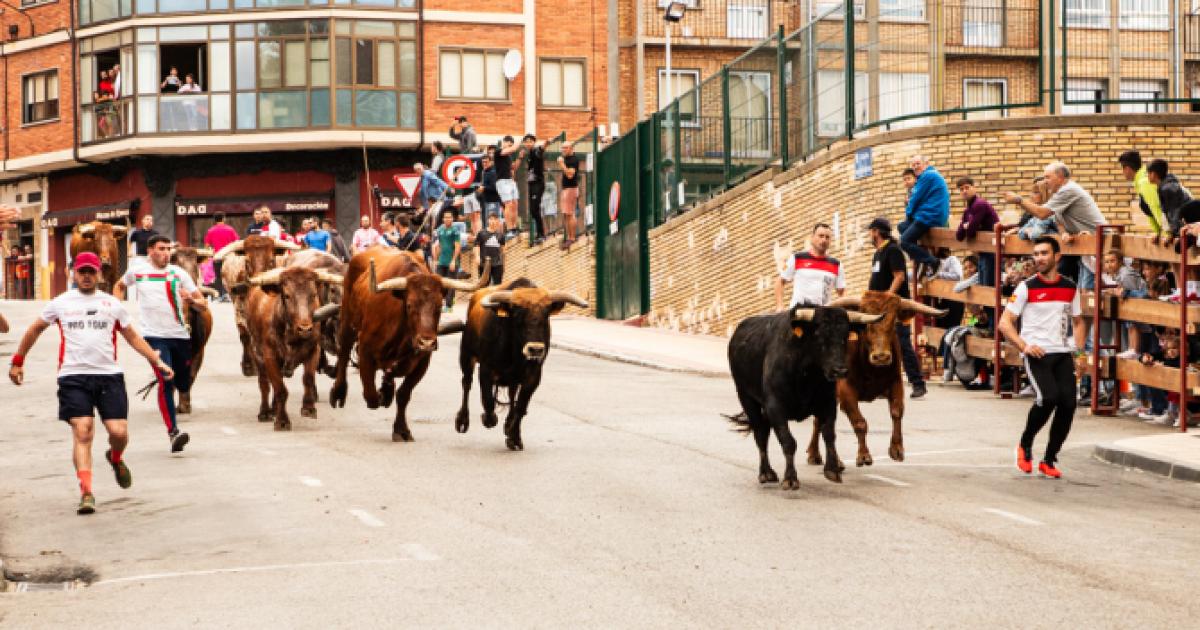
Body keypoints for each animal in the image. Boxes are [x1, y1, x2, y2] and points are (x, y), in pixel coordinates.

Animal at [240, 265, 343, 432]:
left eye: (313, 295)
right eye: (287, 296)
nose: (305, 328)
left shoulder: (314, 350)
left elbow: (308, 379)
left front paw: (308, 408)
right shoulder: (269, 356)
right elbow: (280, 389)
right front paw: (282, 421)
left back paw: (274, 408)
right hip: (257, 353)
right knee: (264, 383)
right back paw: (265, 412)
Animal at [328, 248, 487, 439]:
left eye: (439, 306)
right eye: (410, 305)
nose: (426, 342)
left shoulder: (422, 361)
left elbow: (403, 394)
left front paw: (401, 429)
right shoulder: (365, 350)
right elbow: (370, 395)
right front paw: (381, 396)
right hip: (346, 321)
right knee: (344, 353)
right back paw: (339, 392)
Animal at [811, 291, 950, 465]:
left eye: (893, 322)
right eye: (865, 324)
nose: (881, 357)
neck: (872, 370)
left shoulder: (896, 383)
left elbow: (897, 412)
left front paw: (897, 449)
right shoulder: (846, 391)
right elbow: (860, 422)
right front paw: (864, 455)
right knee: (820, 421)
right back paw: (817, 455)